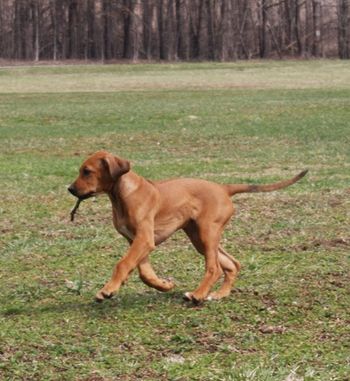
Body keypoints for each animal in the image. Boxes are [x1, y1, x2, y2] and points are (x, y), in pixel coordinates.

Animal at [67, 150, 306, 302]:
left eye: (87, 171)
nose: (70, 189)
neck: (123, 194)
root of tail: (223, 188)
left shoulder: (143, 239)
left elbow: (122, 264)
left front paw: (107, 290)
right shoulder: (137, 241)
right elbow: (144, 273)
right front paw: (163, 285)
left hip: (207, 232)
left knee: (214, 267)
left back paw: (198, 295)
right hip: (199, 236)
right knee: (232, 264)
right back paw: (218, 295)